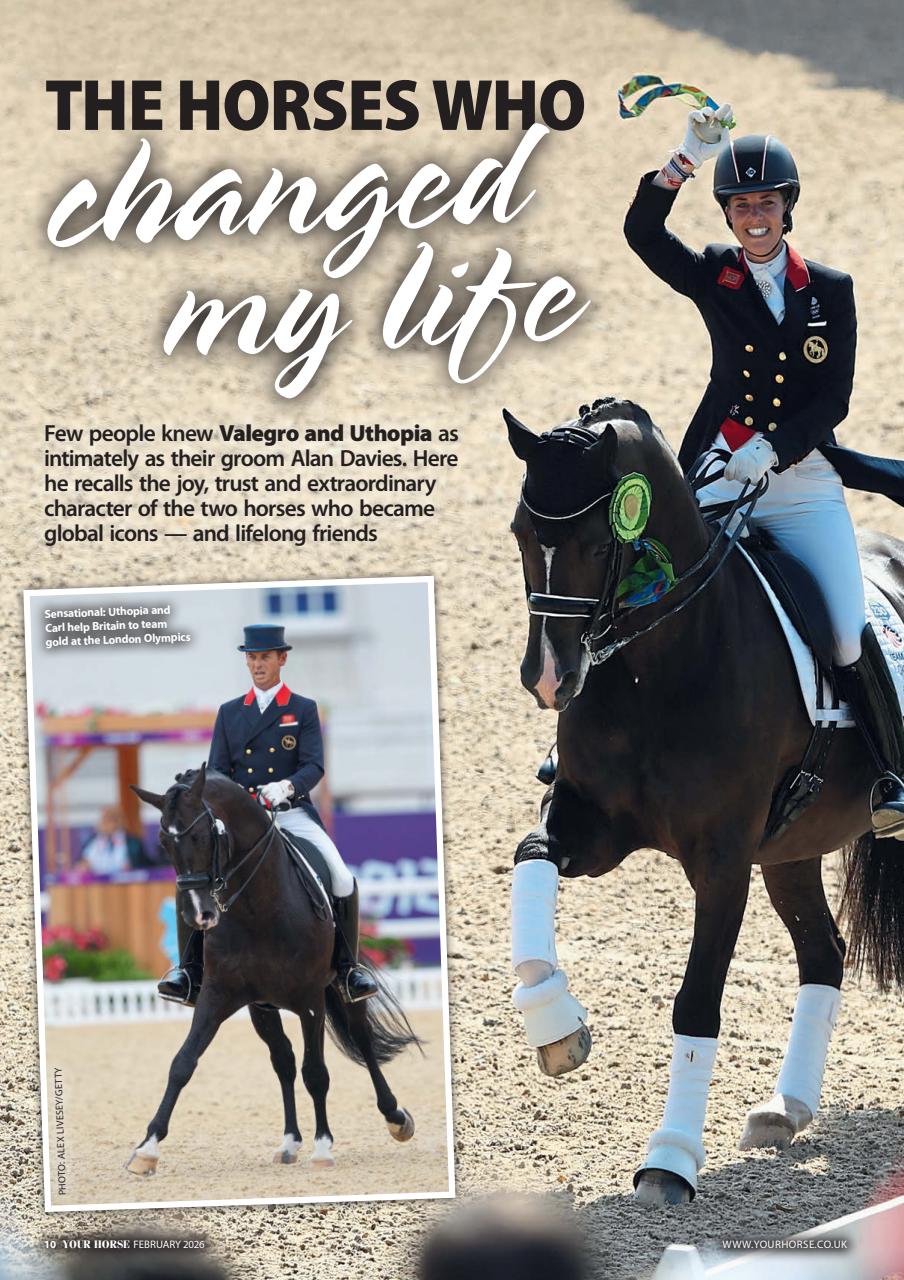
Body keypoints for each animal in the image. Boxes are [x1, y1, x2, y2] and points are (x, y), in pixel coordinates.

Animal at [126, 763, 418, 1176]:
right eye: (164, 844)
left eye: (202, 835)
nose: (199, 915)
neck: (257, 909)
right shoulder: (218, 996)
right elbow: (183, 1063)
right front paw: (147, 1148)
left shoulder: (311, 1001)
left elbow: (317, 1073)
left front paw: (323, 1148)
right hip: (262, 1009)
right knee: (283, 1061)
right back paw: (289, 1142)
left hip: (338, 990)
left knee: (360, 1040)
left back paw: (395, 1117)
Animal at [505, 396, 904, 1207]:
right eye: (522, 532)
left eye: (599, 541)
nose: (549, 679)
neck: (658, 664)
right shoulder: (589, 826)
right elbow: (529, 860)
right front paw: (557, 1029)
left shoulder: (721, 862)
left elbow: (696, 1001)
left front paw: (671, 1160)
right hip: (792, 849)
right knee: (824, 953)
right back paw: (785, 1108)